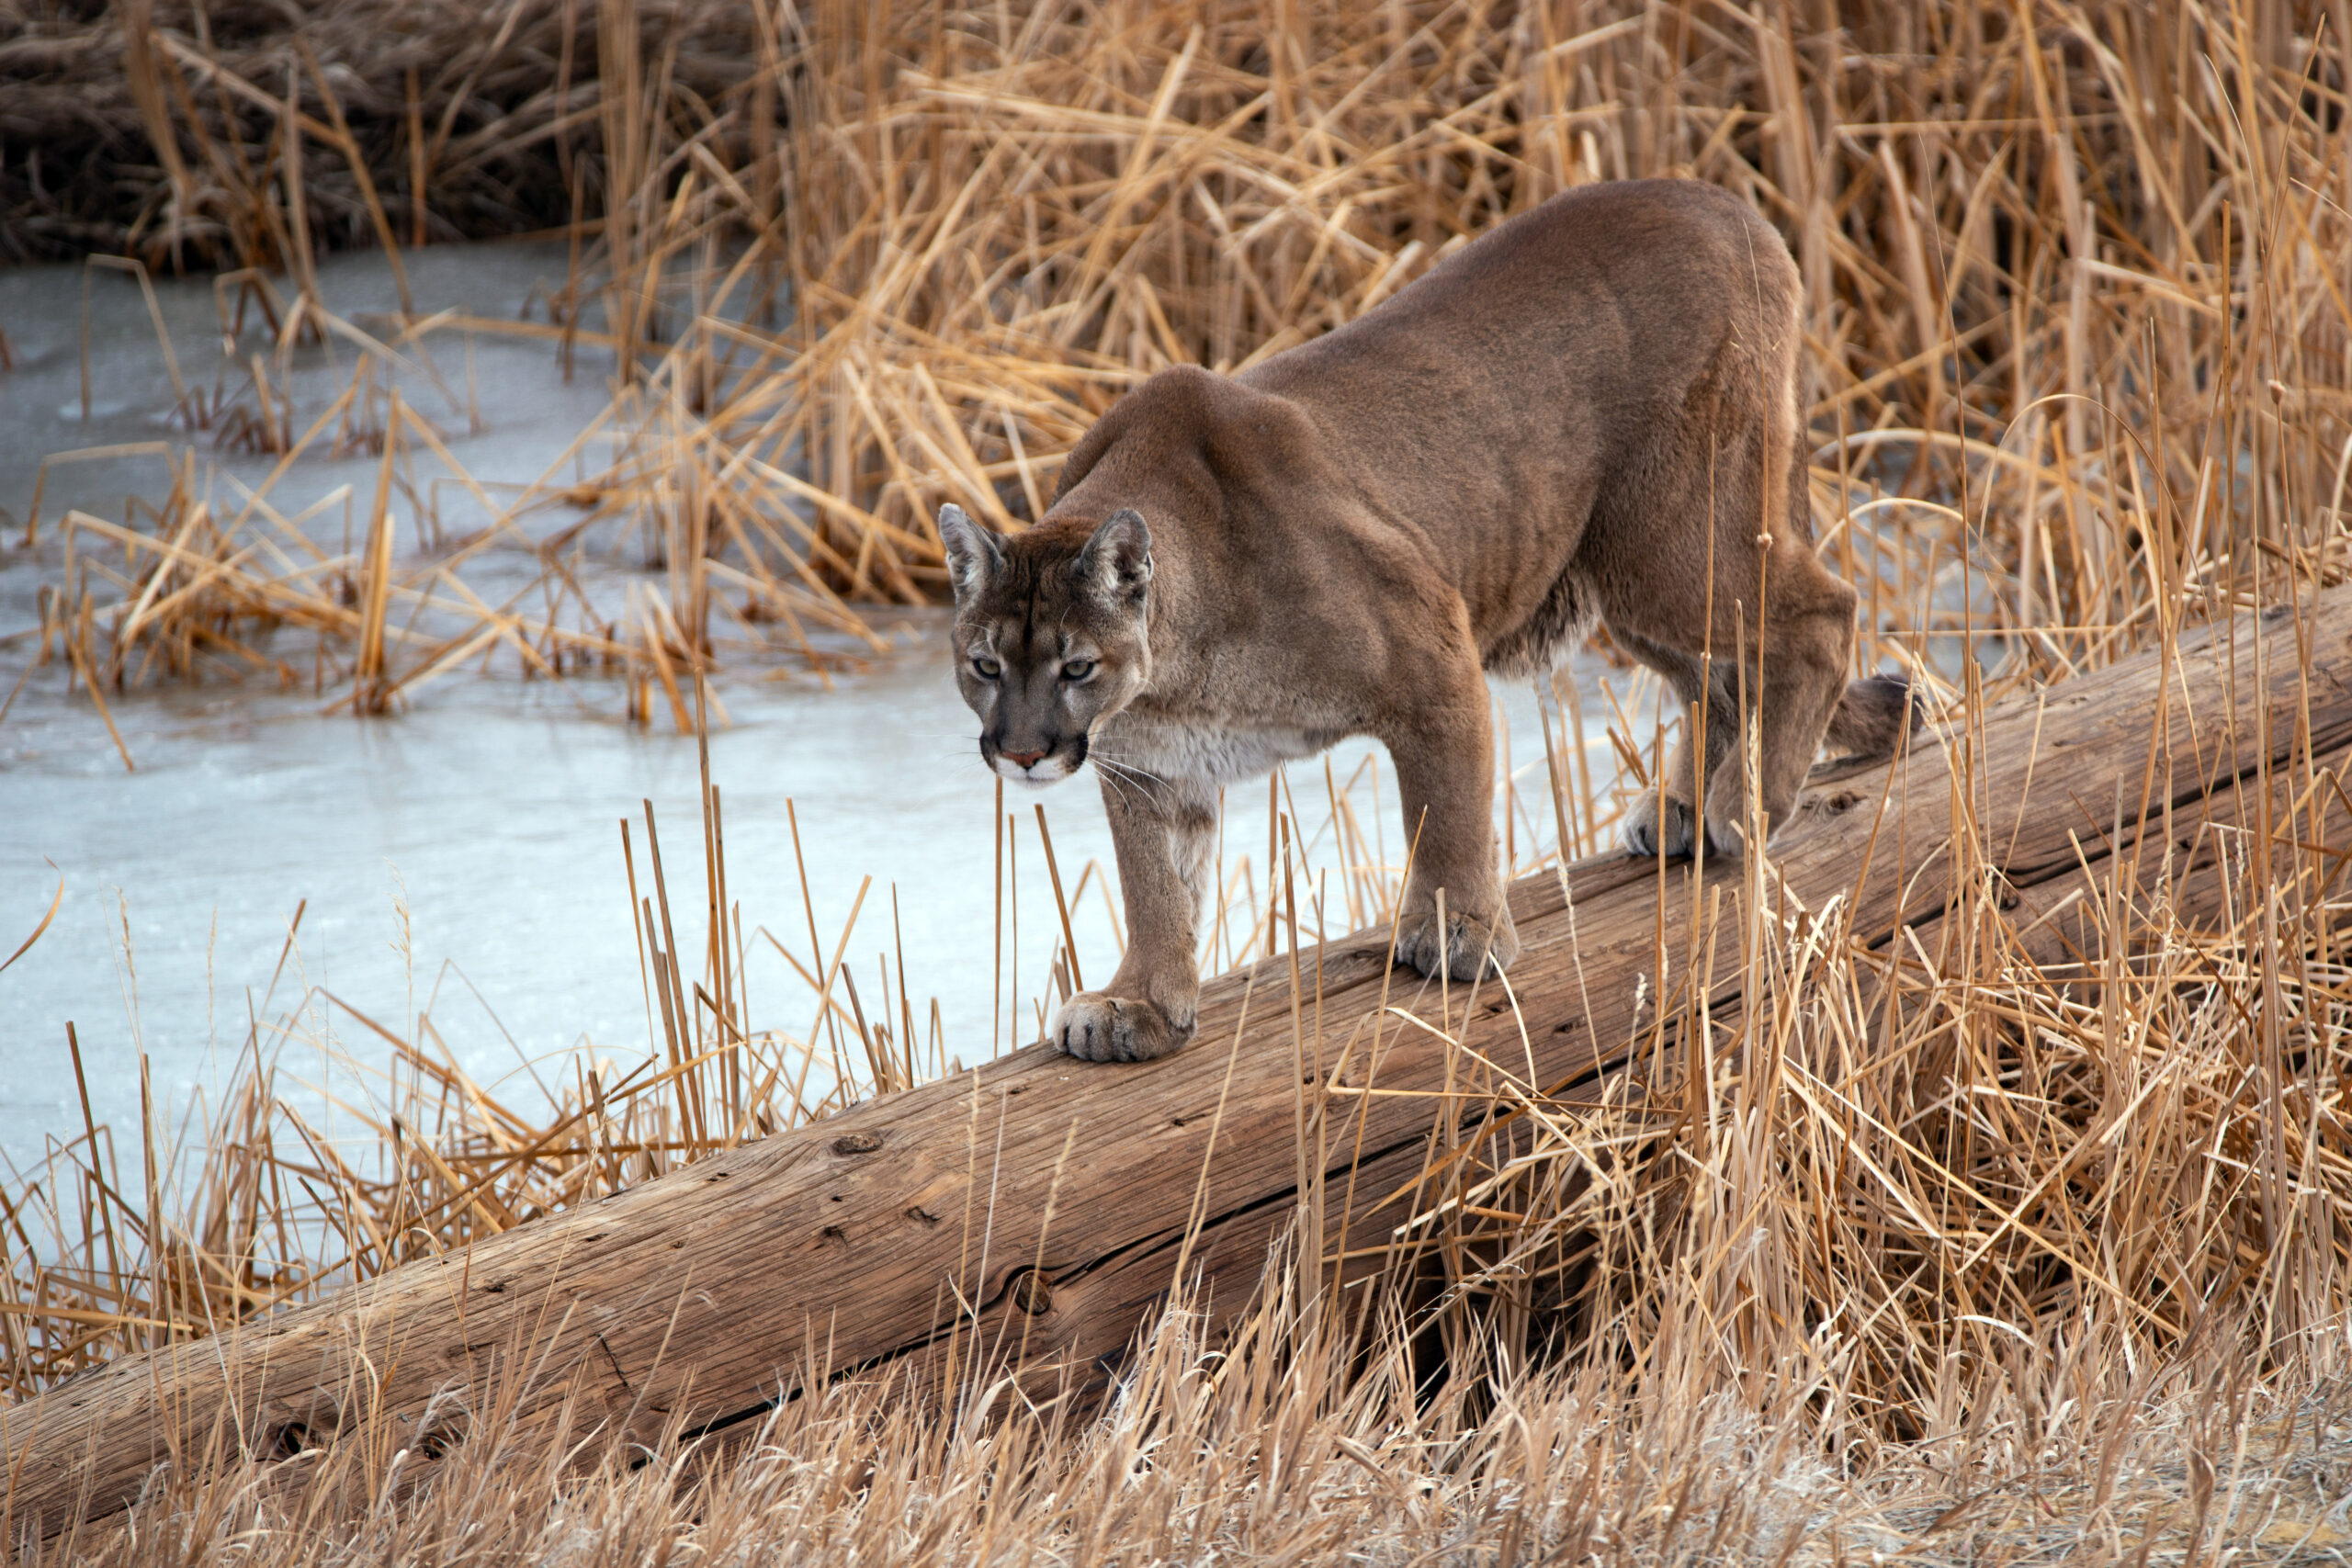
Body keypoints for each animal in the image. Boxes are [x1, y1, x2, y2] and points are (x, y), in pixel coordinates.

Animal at [931, 181, 1909, 1066]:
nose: (1021, 752)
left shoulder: (1432, 653)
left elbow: (1446, 815)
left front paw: (1460, 935)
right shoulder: (1150, 766)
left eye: (1075, 667)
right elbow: (1156, 888)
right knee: (1718, 670)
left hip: (1672, 540)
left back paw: (1745, 807)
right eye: (984, 666)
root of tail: (1728, 202)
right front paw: (1139, 1004)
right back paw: (1683, 808)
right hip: (1626, 578)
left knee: (1823, 614)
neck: (1175, 675)